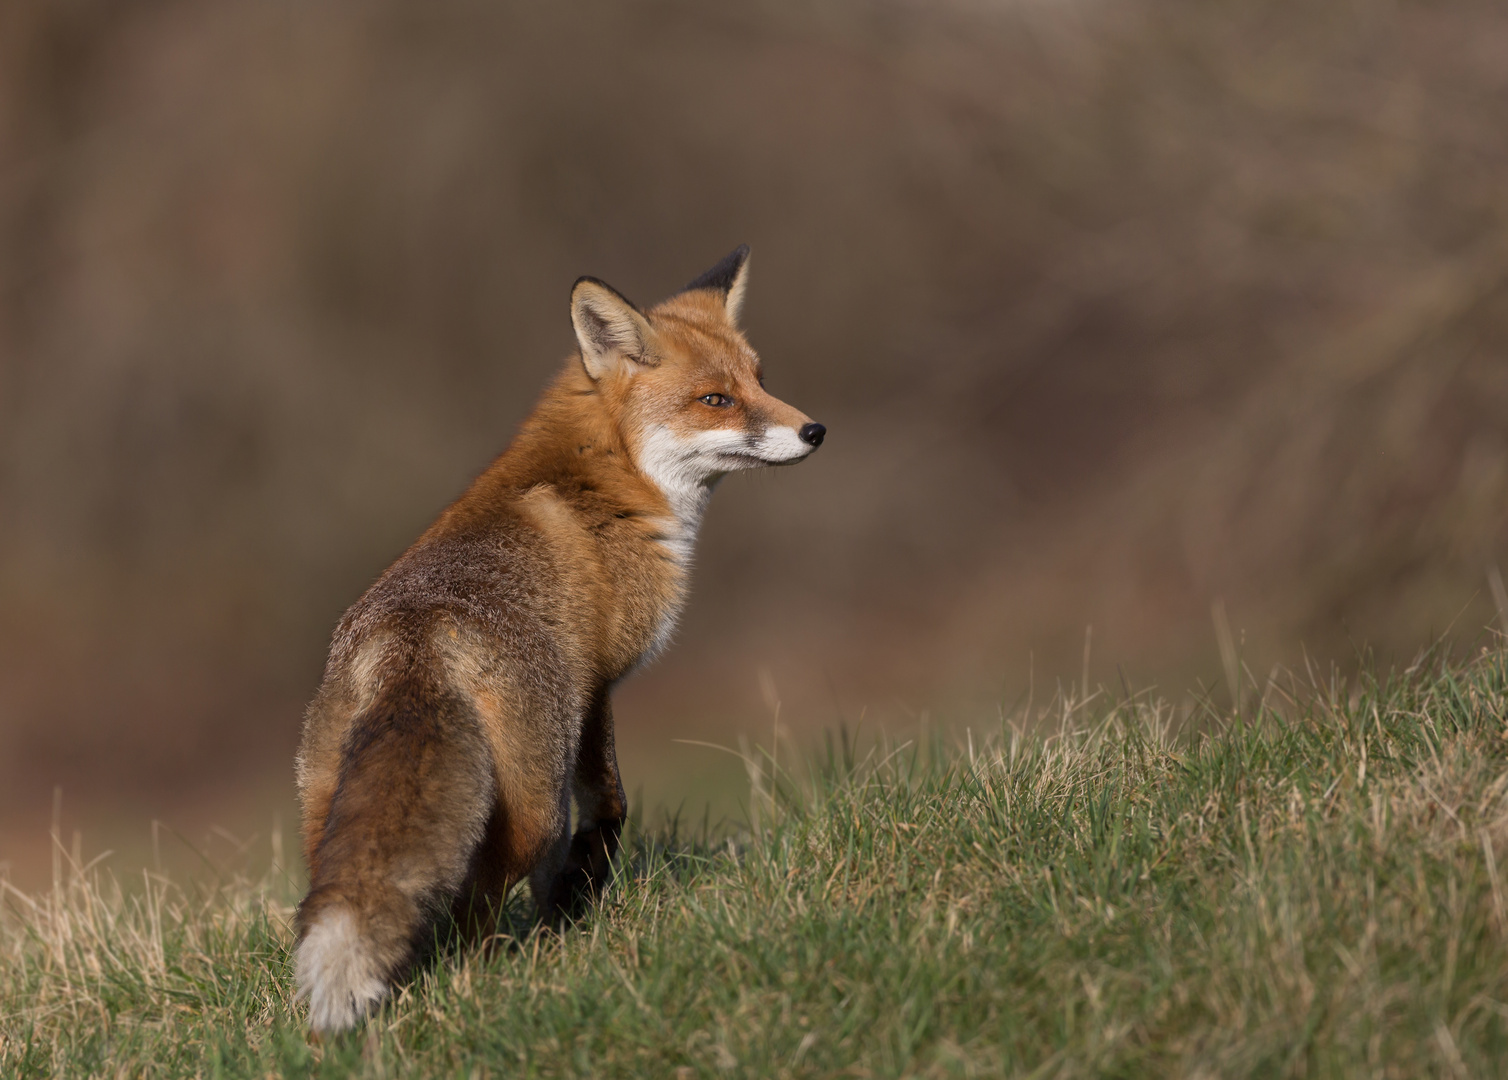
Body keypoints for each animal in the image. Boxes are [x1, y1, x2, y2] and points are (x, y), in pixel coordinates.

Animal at [291, 244, 826, 1031]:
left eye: (761, 380)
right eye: (715, 400)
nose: (815, 430)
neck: (611, 472)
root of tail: (412, 633)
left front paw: (565, 920)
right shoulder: (598, 683)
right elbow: (609, 806)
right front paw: (579, 902)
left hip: (331, 809)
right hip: (531, 800)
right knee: (483, 897)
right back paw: (484, 980)